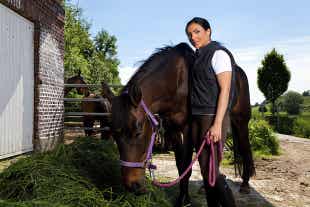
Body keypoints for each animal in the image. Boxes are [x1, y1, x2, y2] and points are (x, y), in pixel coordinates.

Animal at [111, 42, 254, 206]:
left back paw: (245, 184)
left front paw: (184, 199)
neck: (178, 82)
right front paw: (183, 199)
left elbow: (187, 166)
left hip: (241, 122)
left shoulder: (188, 129)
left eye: (138, 131)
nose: (132, 186)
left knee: (245, 149)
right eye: (114, 135)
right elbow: (181, 166)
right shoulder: (173, 129)